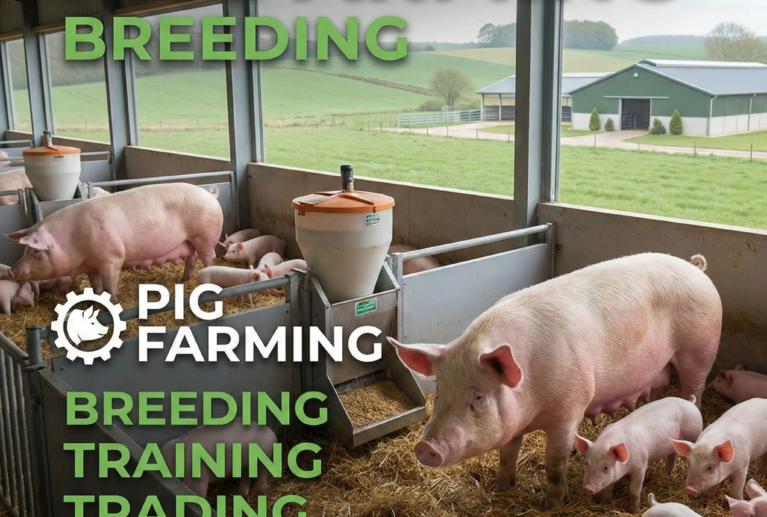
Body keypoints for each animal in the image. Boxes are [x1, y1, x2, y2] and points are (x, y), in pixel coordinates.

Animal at [5, 183, 223, 303]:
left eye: (35, 252)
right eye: (24, 250)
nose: (11, 272)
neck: (73, 240)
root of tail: (210, 194)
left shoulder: (112, 258)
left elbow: (110, 284)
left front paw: (114, 302)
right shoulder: (90, 265)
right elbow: (96, 284)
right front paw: (96, 298)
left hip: (205, 236)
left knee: (209, 256)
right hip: (189, 241)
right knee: (191, 258)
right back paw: (184, 279)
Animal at [574, 395, 703, 512]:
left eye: (605, 467)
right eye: (586, 463)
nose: (587, 488)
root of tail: (690, 402)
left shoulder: (640, 467)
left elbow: (634, 491)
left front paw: (633, 511)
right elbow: (609, 487)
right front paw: (603, 502)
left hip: (694, 433)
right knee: (672, 455)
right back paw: (666, 474)